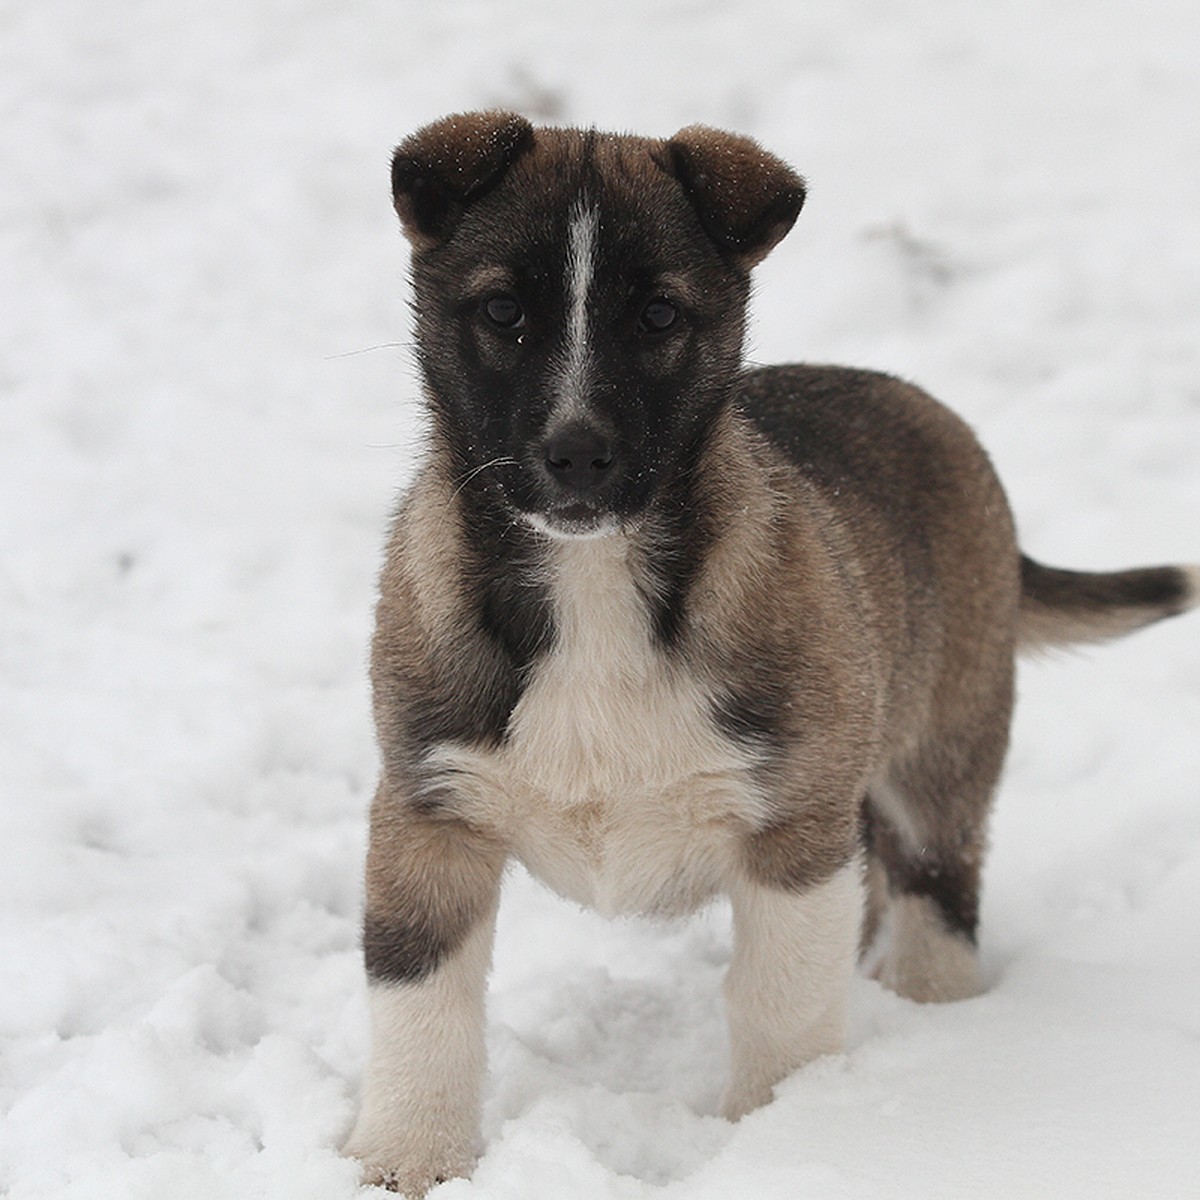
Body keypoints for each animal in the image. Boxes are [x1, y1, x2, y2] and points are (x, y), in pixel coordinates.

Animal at [340, 110, 1200, 1190]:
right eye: (502, 311)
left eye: (659, 316)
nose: (576, 456)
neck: (592, 584)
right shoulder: (429, 810)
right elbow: (421, 1008)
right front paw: (406, 1160)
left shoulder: (794, 833)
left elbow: (780, 1003)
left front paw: (789, 1134)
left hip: (941, 759)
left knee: (936, 896)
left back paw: (935, 1020)